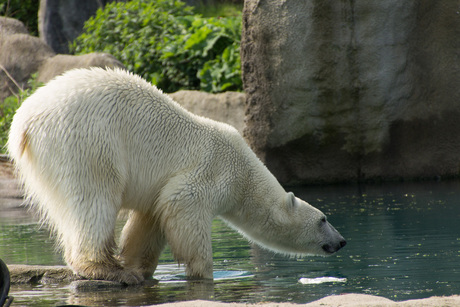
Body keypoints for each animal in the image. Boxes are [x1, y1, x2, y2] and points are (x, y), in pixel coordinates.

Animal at [7, 68, 346, 286]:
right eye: (324, 219)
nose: (341, 241)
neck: (245, 173)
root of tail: (24, 123)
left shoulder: (160, 191)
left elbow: (149, 221)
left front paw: (141, 267)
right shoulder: (208, 172)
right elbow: (184, 210)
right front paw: (203, 275)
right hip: (87, 142)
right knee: (94, 197)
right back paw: (109, 270)